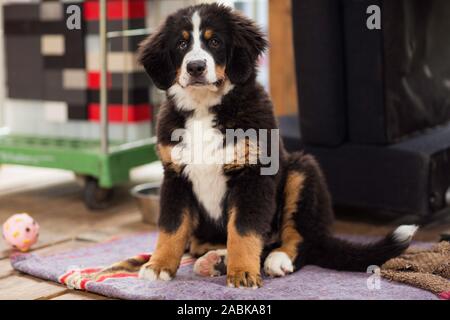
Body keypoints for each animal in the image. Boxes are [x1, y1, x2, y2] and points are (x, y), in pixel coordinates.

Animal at [138, 3, 418, 288]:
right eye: (181, 44)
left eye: (215, 41)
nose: (195, 67)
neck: (203, 108)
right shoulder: (176, 175)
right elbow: (172, 227)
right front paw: (159, 266)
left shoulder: (254, 173)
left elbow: (243, 229)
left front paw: (242, 273)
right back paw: (214, 259)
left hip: (302, 170)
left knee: (301, 239)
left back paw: (275, 258)